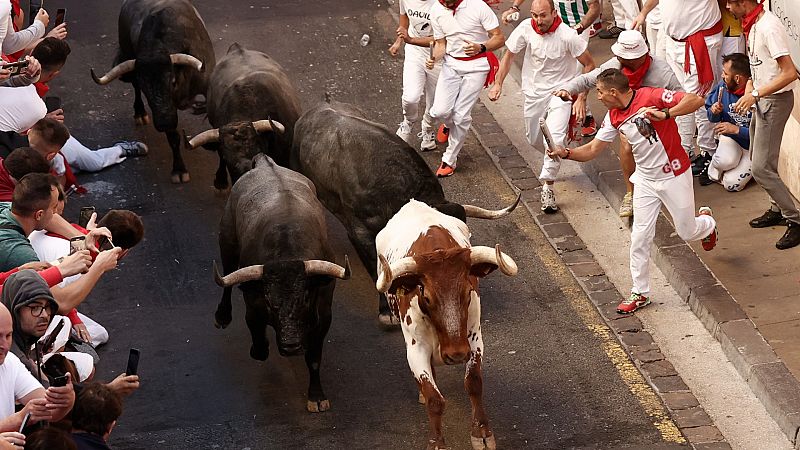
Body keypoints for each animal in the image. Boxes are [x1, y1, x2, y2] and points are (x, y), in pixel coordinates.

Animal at [90, 0, 216, 185]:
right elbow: (173, 138)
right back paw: (140, 113)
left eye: (172, 81)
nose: (163, 123)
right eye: (145, 86)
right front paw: (179, 170)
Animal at [212, 153, 350, 414]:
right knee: (227, 277)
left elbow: (314, 358)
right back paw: (222, 316)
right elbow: (257, 336)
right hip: (227, 243)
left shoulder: (324, 314)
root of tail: (266, 163)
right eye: (268, 300)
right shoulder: (253, 306)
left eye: (305, 297)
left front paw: (316, 396)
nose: (291, 345)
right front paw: (261, 348)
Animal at [376, 200, 520, 450]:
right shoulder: (415, 348)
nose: (456, 354)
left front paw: (482, 432)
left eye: (467, 291)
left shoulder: (474, 339)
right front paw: (436, 442)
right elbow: (434, 399)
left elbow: (473, 383)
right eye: (426, 297)